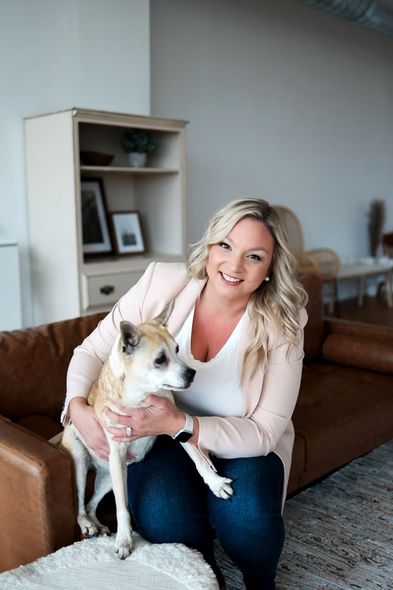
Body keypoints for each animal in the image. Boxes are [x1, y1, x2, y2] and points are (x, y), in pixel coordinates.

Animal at [60, 302, 233, 560]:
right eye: (160, 360)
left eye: (177, 349)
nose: (192, 373)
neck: (140, 396)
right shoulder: (118, 452)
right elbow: (122, 507)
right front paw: (124, 539)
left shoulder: (175, 424)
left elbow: (198, 459)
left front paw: (215, 483)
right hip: (85, 462)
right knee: (81, 504)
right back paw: (88, 525)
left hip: (111, 476)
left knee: (91, 504)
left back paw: (99, 524)